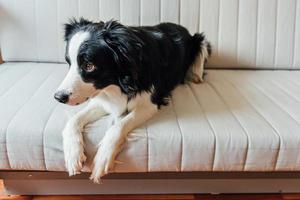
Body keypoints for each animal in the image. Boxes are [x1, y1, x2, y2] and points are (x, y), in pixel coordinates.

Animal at [53, 18, 211, 184]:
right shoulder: (103, 97)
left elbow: (118, 126)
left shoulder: (151, 103)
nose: (58, 97)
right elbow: (73, 120)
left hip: (201, 41)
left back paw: (195, 77)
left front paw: (102, 159)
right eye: (68, 62)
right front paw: (72, 155)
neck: (120, 82)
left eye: (89, 66)